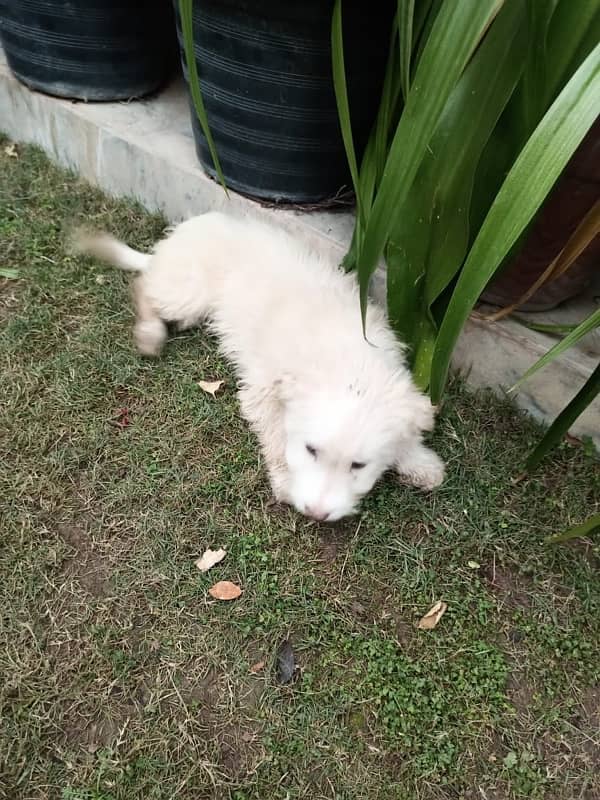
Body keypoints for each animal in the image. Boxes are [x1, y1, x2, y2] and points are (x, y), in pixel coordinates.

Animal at [72, 211, 442, 520]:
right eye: (310, 450)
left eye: (358, 465)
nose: (316, 514)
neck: (350, 360)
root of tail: (174, 241)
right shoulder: (264, 391)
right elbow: (277, 437)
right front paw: (285, 481)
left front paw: (420, 462)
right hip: (188, 294)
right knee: (144, 287)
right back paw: (149, 333)